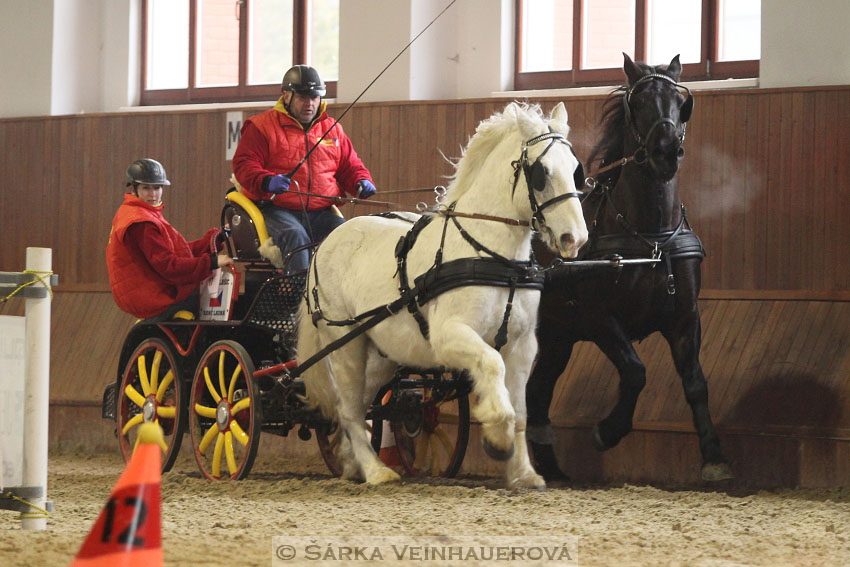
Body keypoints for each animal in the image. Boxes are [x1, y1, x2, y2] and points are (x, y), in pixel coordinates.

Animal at [296, 102, 584, 488]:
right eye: (541, 173)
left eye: (576, 170)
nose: (574, 238)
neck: (493, 256)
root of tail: (324, 244)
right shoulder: (450, 336)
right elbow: (492, 367)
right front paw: (497, 438)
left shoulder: (523, 345)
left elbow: (522, 410)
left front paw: (524, 473)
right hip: (345, 344)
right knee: (350, 408)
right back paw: (376, 470)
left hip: (382, 354)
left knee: (359, 402)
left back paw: (351, 463)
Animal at [528, 54, 732, 484]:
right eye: (637, 104)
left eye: (680, 102)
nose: (666, 150)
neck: (650, 237)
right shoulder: (601, 318)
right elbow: (636, 371)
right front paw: (607, 431)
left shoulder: (684, 317)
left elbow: (695, 382)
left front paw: (714, 457)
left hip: (557, 335)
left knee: (537, 391)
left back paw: (552, 468)